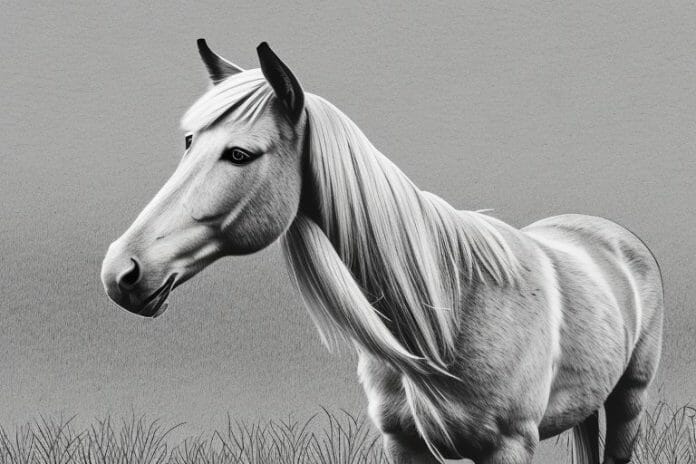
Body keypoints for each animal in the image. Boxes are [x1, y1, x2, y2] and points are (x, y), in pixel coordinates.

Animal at [101, 40, 664, 464]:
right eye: (190, 141)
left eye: (239, 154)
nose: (121, 271)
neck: (448, 310)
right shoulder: (404, 445)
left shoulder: (509, 448)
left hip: (629, 399)